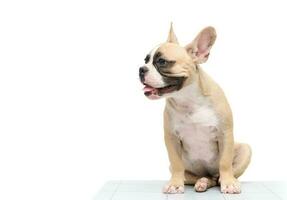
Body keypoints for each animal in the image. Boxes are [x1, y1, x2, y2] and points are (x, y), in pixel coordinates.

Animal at [140, 23, 252, 194]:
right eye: (145, 60)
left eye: (162, 62)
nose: (141, 69)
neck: (188, 99)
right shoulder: (171, 138)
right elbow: (177, 164)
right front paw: (175, 184)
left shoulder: (225, 133)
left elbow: (225, 163)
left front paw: (229, 183)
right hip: (182, 170)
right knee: (198, 177)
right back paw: (202, 182)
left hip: (246, 150)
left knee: (218, 176)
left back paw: (220, 180)